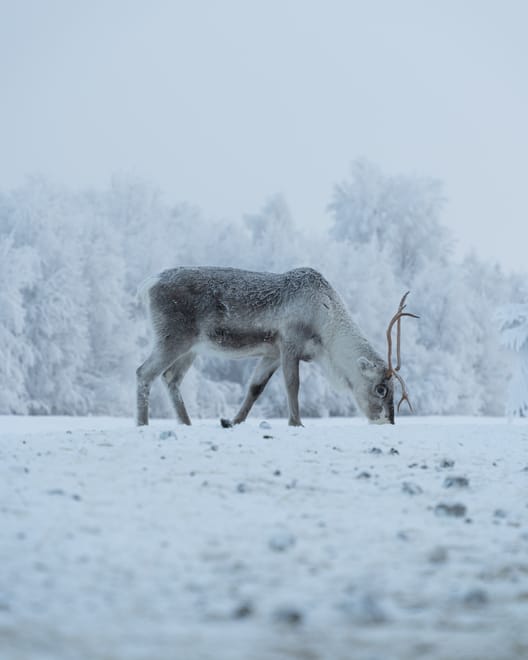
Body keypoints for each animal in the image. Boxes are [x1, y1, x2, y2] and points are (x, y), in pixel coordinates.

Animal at [136, 266, 418, 427]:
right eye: (381, 388)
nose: (388, 420)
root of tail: (148, 284)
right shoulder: (289, 343)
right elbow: (292, 384)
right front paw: (296, 422)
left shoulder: (270, 353)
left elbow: (255, 388)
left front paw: (232, 421)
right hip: (173, 338)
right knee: (144, 372)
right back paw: (143, 424)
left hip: (192, 348)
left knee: (170, 377)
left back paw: (186, 423)